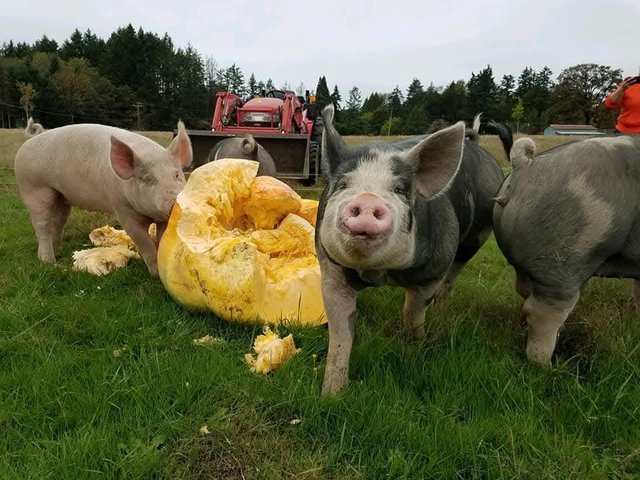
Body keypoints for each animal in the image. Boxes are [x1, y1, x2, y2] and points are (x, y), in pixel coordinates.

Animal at [14, 119, 193, 276]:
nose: (175, 202)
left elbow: (162, 238)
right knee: (41, 224)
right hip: (33, 187)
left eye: (177, 175)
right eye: (148, 179)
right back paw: (48, 261)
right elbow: (143, 240)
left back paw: (57, 252)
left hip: (60, 194)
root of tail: (29, 140)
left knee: (58, 221)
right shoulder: (121, 207)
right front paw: (156, 274)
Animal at [316, 105, 509, 395]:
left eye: (399, 189)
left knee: (452, 277)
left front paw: (414, 352)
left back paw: (441, 312)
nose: (368, 200)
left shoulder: (432, 272)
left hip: (475, 237)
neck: (380, 273)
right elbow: (340, 334)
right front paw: (332, 394)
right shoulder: (331, 270)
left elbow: (413, 314)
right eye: (343, 184)